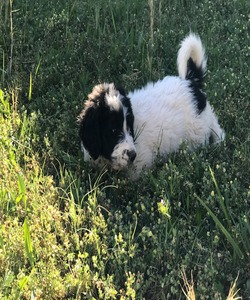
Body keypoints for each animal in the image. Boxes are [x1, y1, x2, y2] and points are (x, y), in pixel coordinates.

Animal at [77, 33, 225, 178]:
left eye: (129, 127)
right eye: (113, 130)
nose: (133, 155)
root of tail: (191, 83)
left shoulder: (140, 164)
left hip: (198, 129)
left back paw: (218, 142)